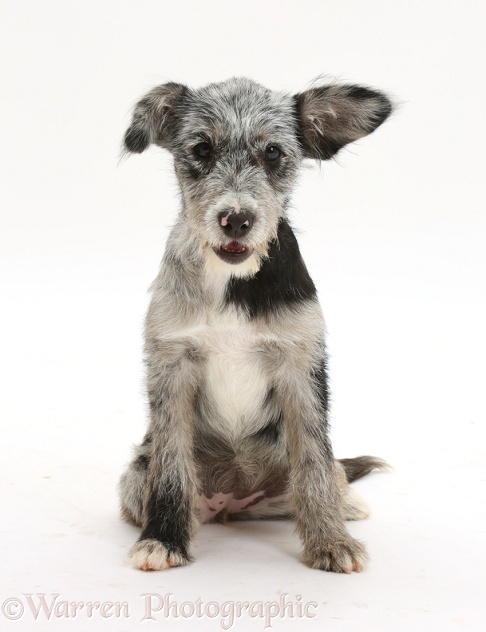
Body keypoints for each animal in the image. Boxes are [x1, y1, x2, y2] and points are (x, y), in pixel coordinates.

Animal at [119, 75, 392, 572]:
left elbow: (314, 463)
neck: (231, 280)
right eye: (202, 149)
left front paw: (330, 541)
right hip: (133, 477)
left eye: (273, 153)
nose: (236, 219)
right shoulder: (171, 367)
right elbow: (171, 468)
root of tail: (234, 501)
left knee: (329, 471)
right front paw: (163, 539)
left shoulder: (300, 367)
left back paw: (346, 504)